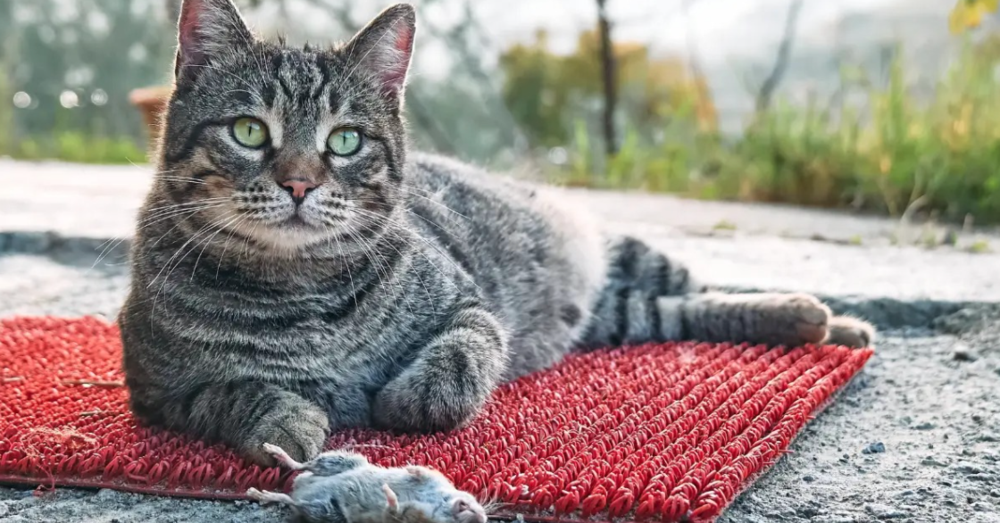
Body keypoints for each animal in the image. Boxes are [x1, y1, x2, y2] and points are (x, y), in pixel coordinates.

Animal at [117, 0, 872, 466]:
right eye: (249, 131)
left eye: (346, 140)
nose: (300, 183)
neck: (299, 293)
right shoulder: (157, 390)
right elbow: (230, 392)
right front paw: (285, 420)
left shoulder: (470, 304)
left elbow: (462, 358)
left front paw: (407, 398)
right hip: (626, 316)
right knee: (683, 312)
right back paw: (811, 321)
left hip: (629, 256)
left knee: (707, 287)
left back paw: (833, 321)